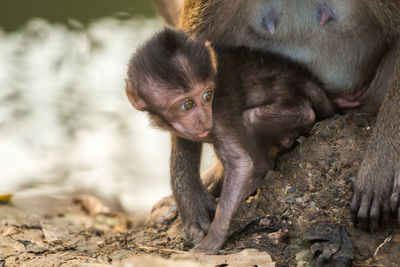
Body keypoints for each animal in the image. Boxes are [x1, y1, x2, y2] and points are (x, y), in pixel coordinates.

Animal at [126, 27, 336, 253]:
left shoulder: (218, 118)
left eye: (208, 95)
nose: (203, 119)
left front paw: (213, 239)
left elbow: (241, 164)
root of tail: (305, 81)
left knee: (262, 120)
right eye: (187, 105)